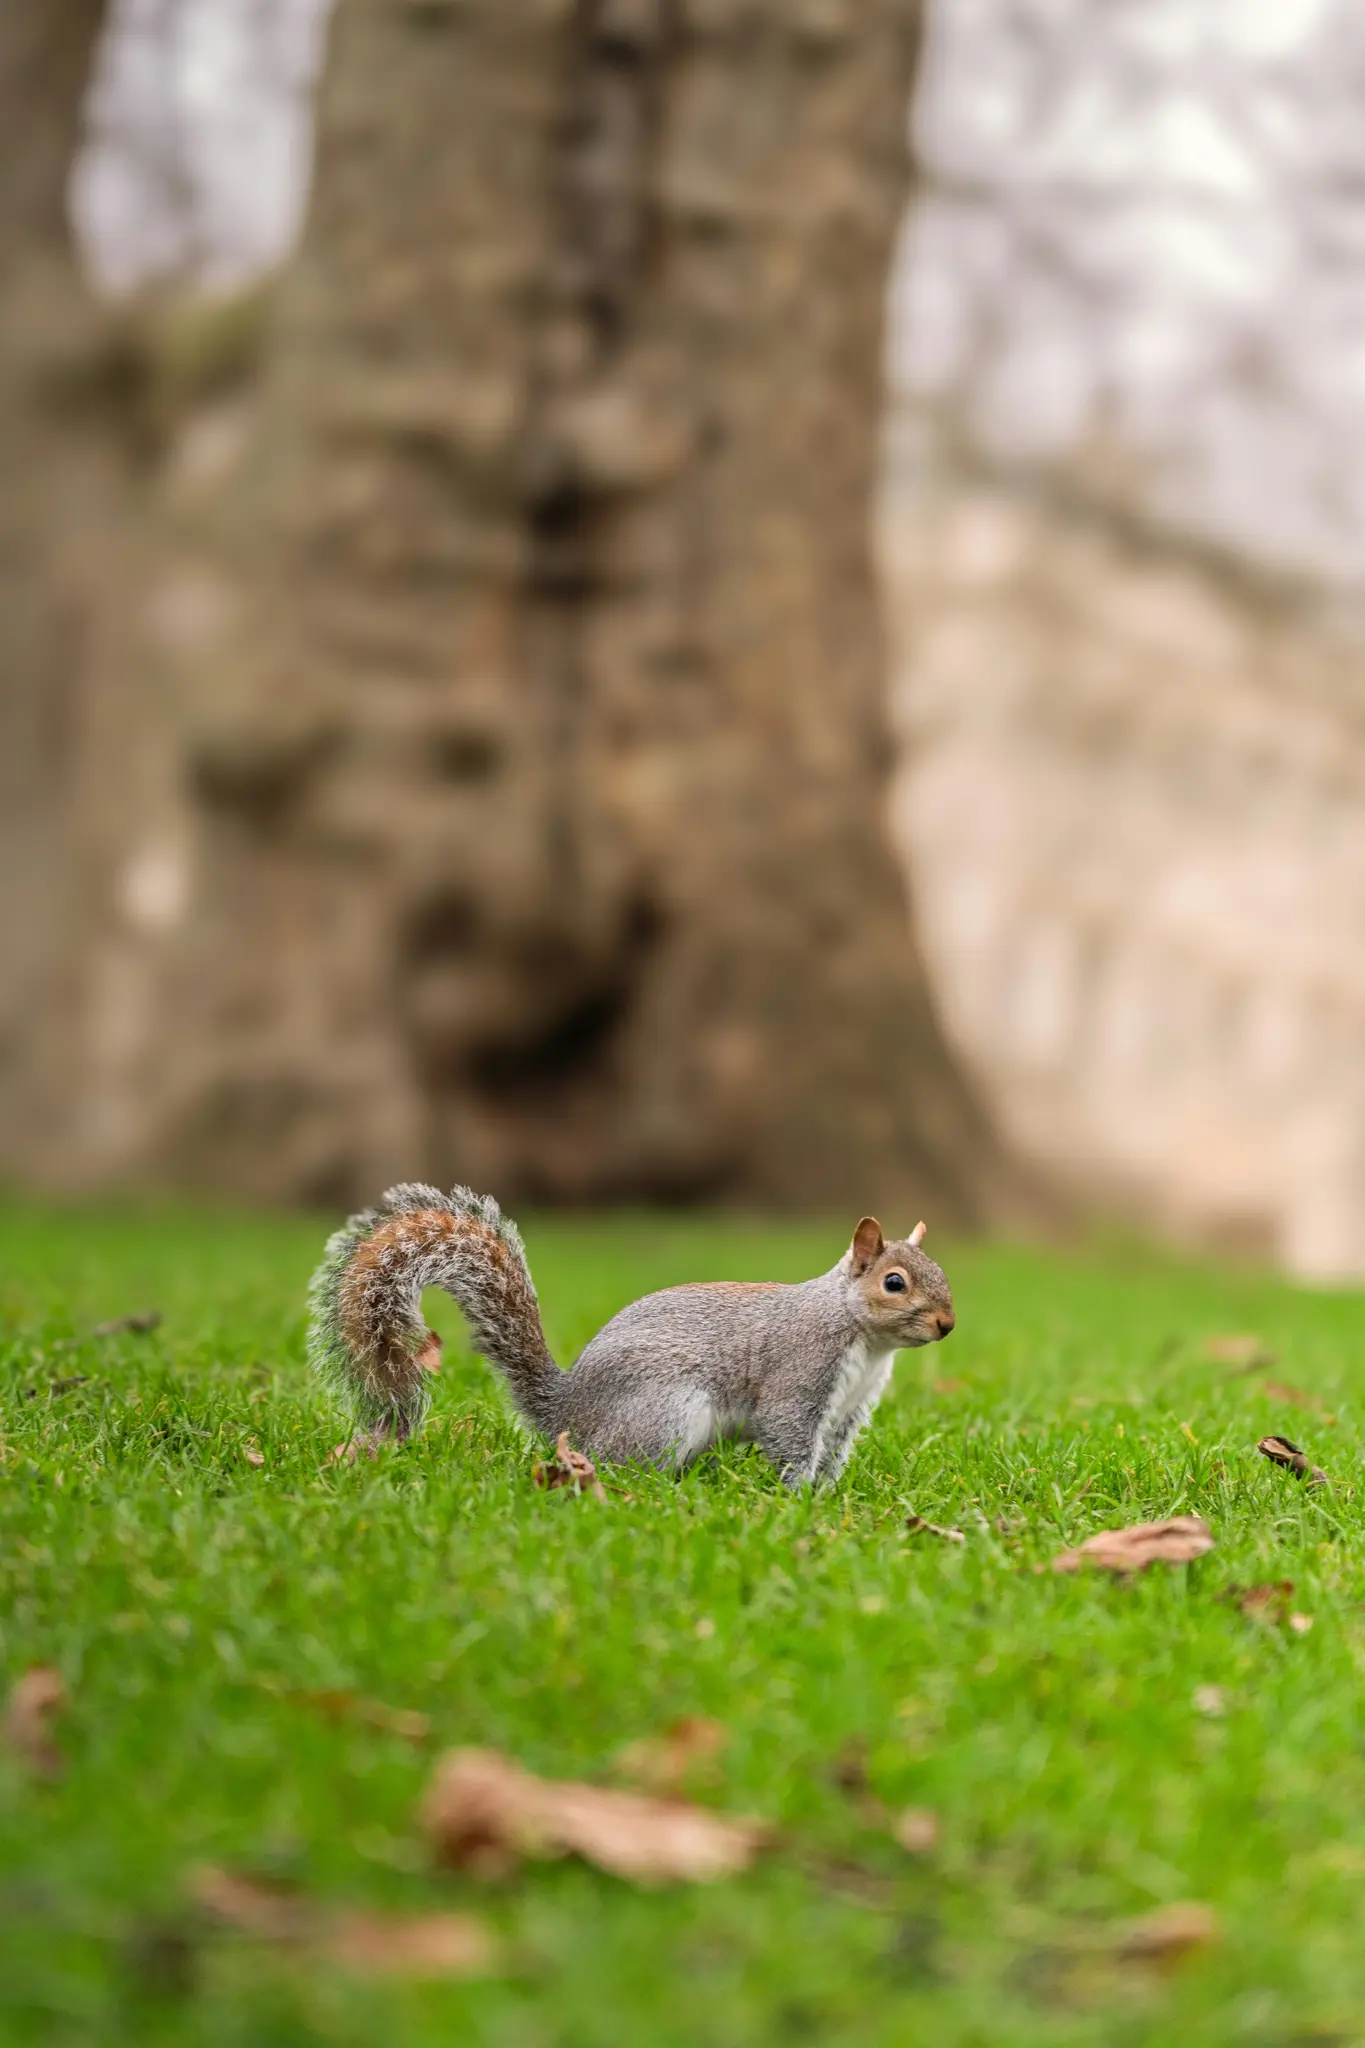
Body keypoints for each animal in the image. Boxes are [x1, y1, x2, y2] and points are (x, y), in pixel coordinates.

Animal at [307, 1183, 955, 1487]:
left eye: (942, 1274)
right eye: (894, 1283)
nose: (947, 1324)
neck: (863, 1341)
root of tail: (569, 1410)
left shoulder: (849, 1407)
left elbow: (832, 1452)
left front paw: (827, 1495)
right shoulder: (800, 1375)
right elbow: (789, 1437)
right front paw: (795, 1501)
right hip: (665, 1410)